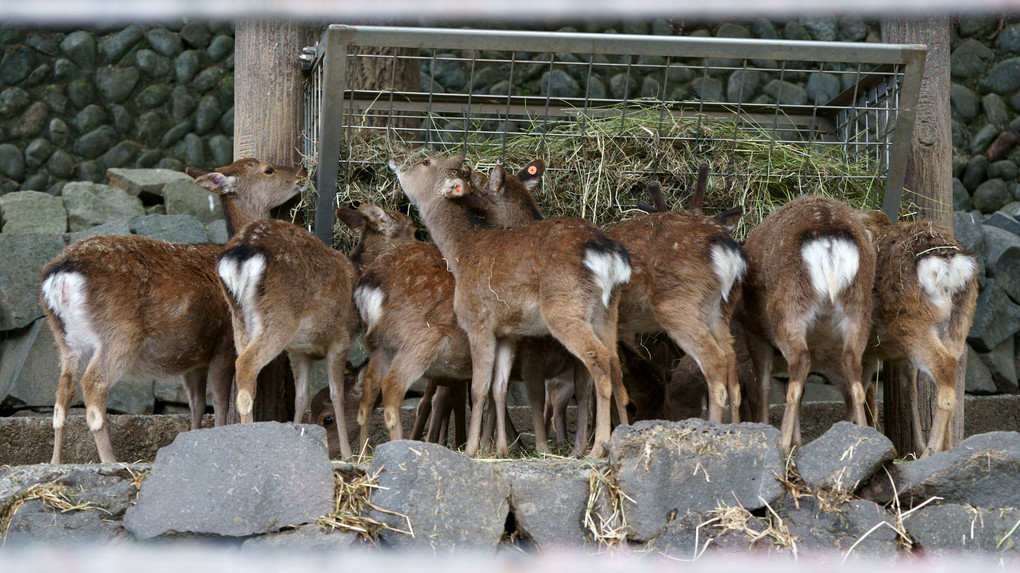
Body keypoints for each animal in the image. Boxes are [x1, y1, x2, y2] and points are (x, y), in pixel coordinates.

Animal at [39, 158, 308, 460]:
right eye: (268, 169)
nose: (303, 172)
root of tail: (60, 277)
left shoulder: (193, 358)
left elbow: (197, 404)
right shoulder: (224, 344)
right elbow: (220, 402)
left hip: (65, 339)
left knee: (62, 395)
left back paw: (55, 462)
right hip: (119, 334)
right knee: (93, 386)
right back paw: (110, 460)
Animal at [393, 153, 632, 456]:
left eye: (426, 161)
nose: (396, 159)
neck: (460, 255)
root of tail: (608, 254)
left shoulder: (478, 322)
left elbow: (478, 389)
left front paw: (472, 449)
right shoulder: (508, 333)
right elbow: (499, 387)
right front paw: (501, 450)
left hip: (565, 309)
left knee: (597, 361)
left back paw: (597, 447)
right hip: (608, 311)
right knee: (614, 365)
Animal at [734, 194, 877, 450]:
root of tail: (829, 240)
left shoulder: (755, 333)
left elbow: (764, 387)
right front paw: (798, 442)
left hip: (789, 307)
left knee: (799, 363)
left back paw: (782, 443)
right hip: (858, 308)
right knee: (853, 368)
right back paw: (862, 437)